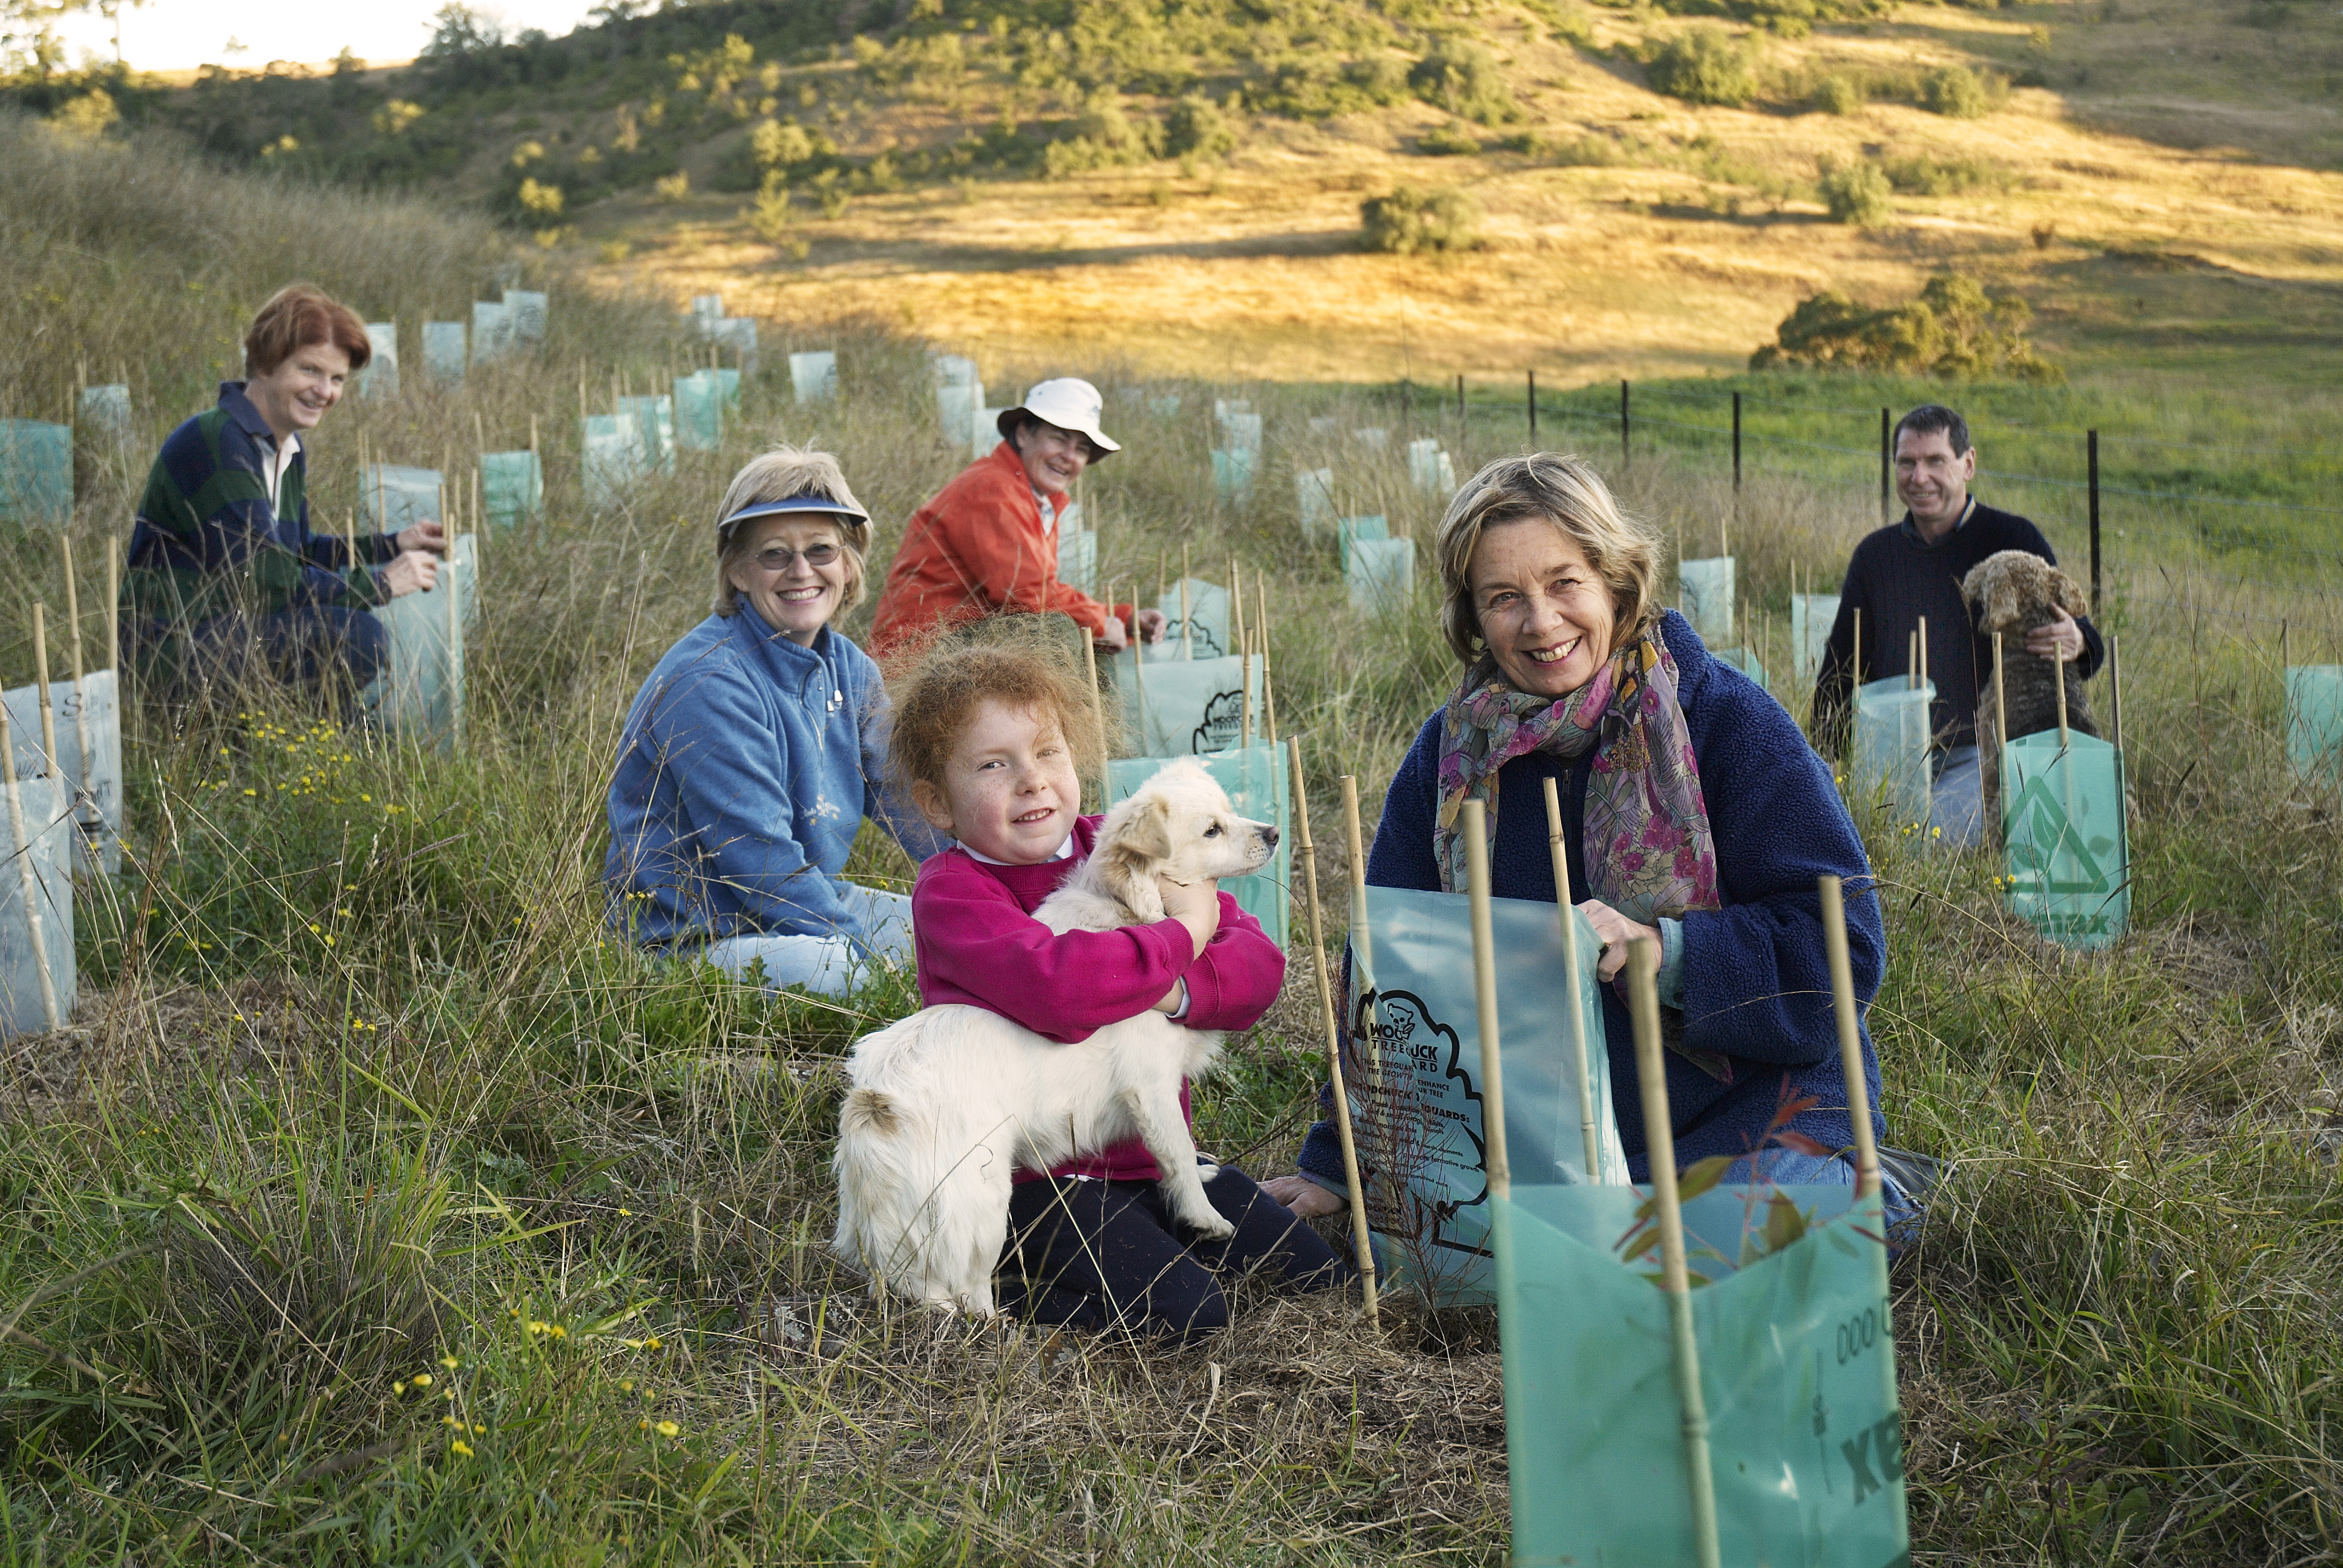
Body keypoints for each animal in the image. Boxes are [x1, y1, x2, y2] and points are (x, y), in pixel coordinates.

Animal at [839, 754, 1283, 1312]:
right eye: (1211, 830)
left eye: (1230, 811)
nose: (1274, 833)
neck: (1131, 905)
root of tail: (877, 1106)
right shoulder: (1151, 1086)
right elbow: (1176, 1151)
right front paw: (1204, 1216)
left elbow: (1174, 1154)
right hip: (985, 1206)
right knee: (969, 1295)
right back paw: (1002, 1323)